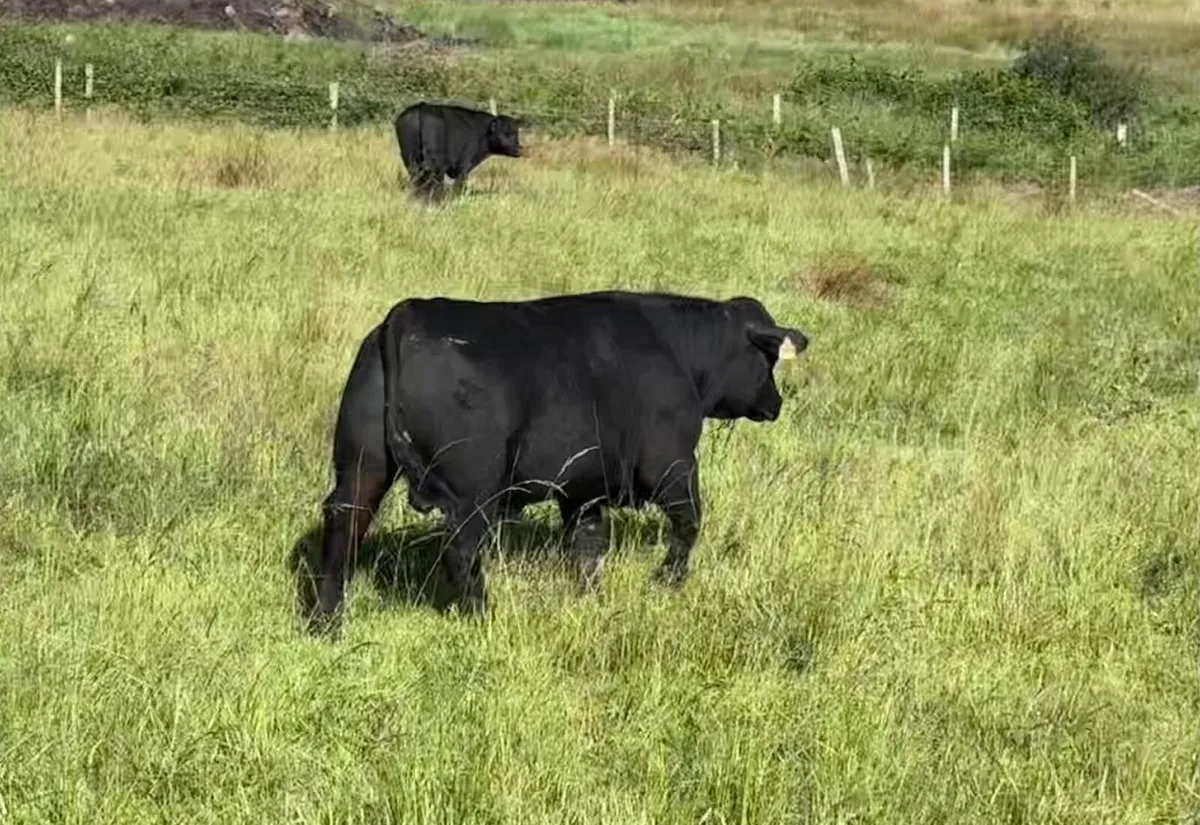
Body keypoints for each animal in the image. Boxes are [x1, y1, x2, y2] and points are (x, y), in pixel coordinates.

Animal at [307, 290, 808, 634]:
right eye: (767, 360)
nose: (776, 403)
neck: (679, 351)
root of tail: (409, 313)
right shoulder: (672, 466)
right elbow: (689, 524)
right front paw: (667, 582)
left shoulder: (585, 488)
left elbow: (587, 547)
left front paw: (591, 599)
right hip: (473, 493)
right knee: (462, 549)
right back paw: (483, 615)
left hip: (361, 468)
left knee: (344, 528)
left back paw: (326, 621)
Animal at [393, 102, 522, 200]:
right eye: (506, 134)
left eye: (515, 133)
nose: (519, 149)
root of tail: (421, 107)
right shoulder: (464, 166)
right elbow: (459, 184)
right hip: (436, 163)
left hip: (410, 158)